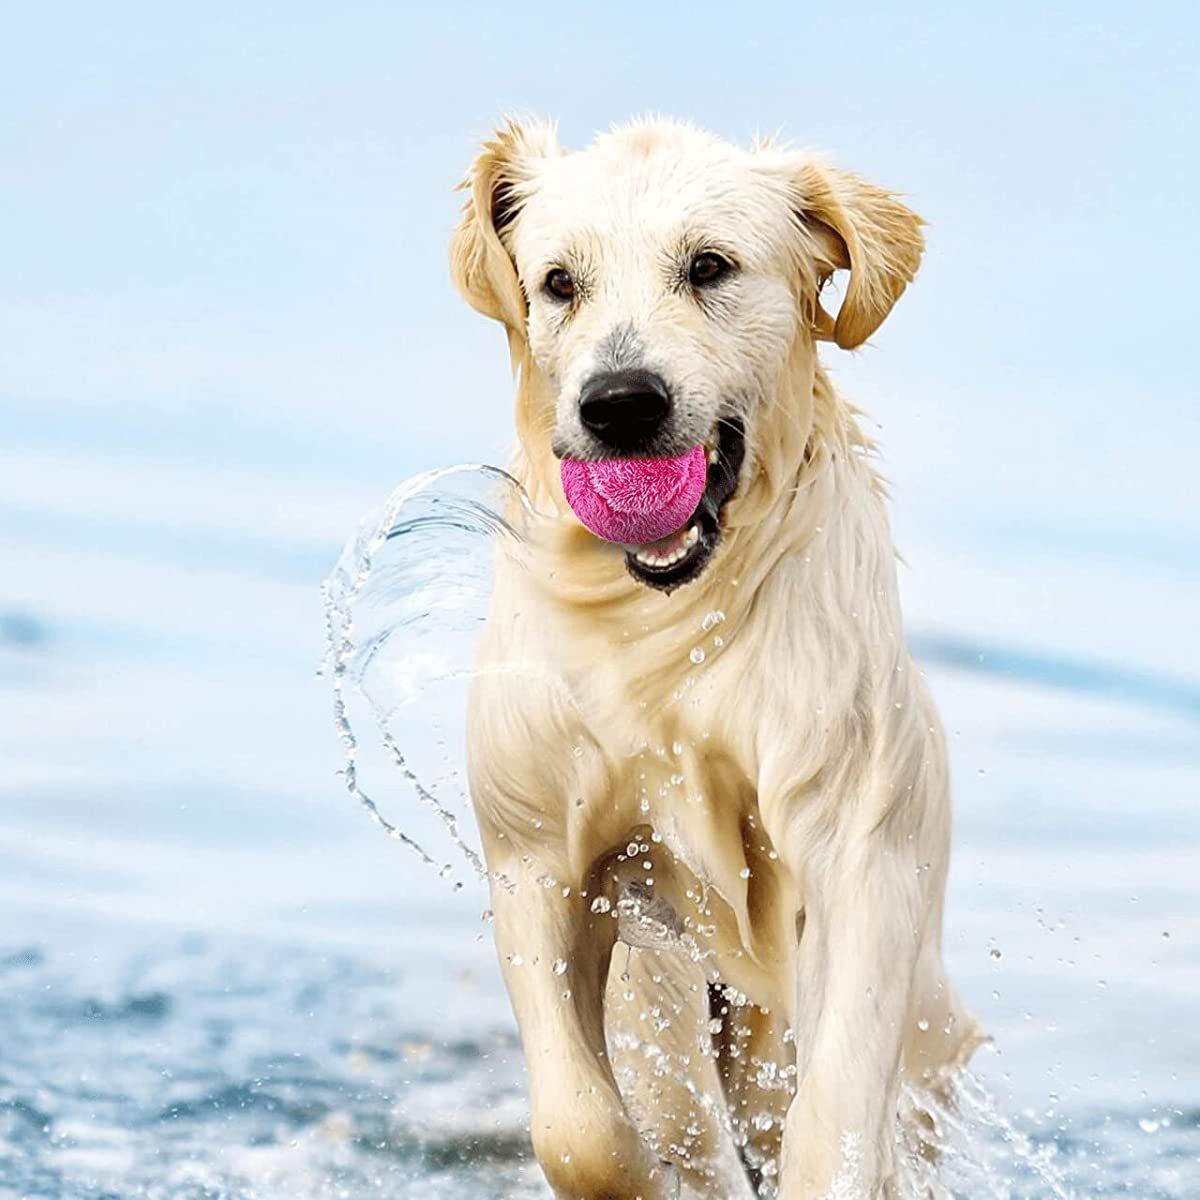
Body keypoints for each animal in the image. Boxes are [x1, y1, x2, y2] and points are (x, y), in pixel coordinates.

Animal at [446, 114, 979, 1200]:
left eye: (709, 266)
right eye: (557, 281)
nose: (621, 403)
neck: (671, 627)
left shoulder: (859, 848)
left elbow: (836, 1117)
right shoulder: (537, 855)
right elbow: (581, 1126)